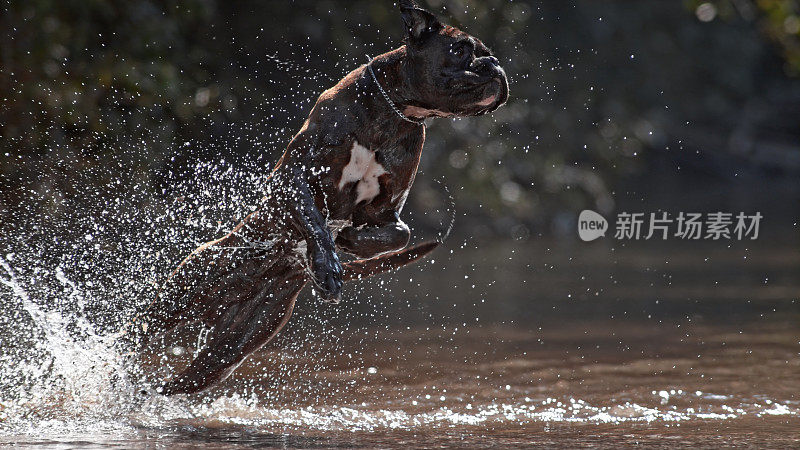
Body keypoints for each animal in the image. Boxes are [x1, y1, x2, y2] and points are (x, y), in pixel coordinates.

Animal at [131, 0, 506, 394]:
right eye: (460, 50)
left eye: (487, 53)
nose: (495, 64)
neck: (392, 112)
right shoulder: (294, 177)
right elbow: (314, 221)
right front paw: (327, 263)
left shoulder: (386, 211)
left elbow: (397, 235)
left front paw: (348, 240)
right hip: (180, 297)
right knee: (132, 336)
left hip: (231, 347)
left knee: (178, 382)